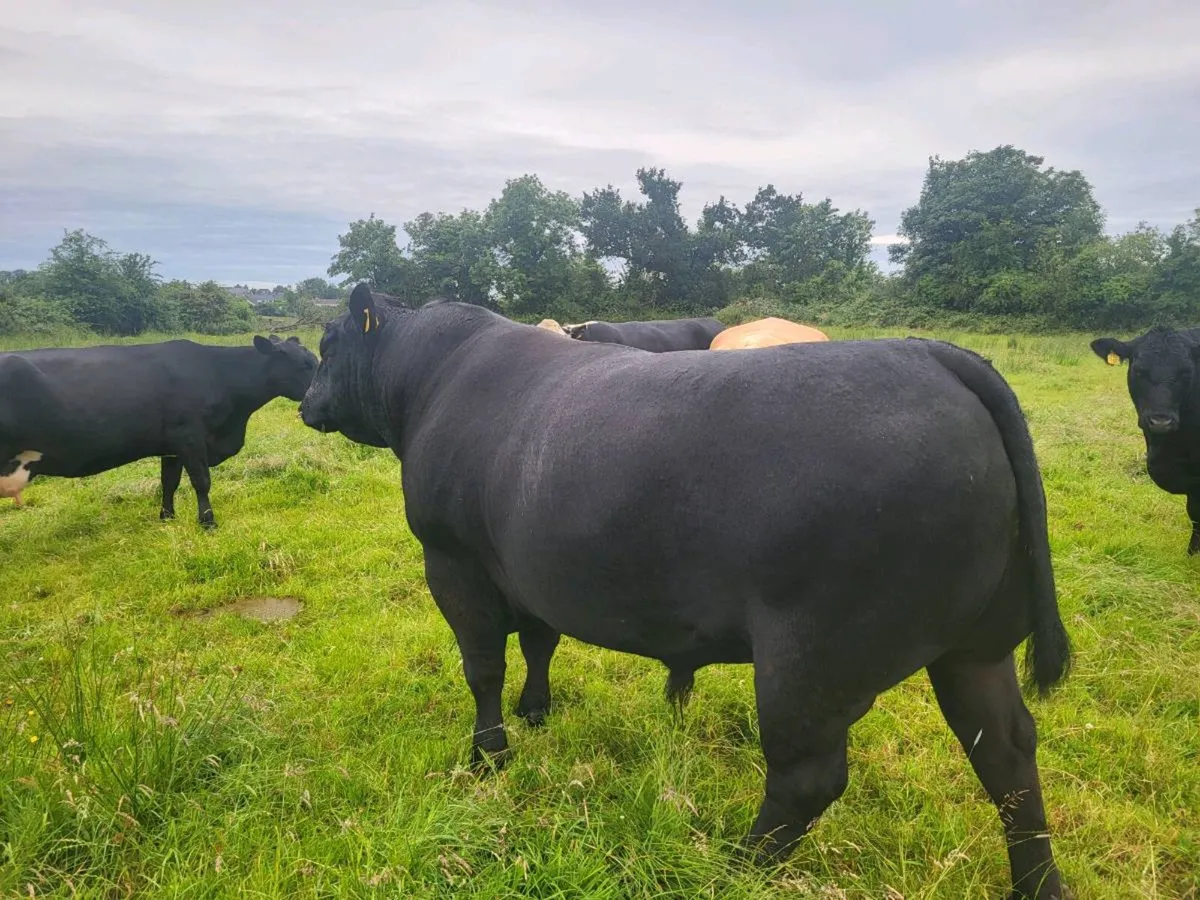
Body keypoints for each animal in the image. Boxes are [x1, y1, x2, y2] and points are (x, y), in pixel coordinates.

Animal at [0, 334, 317, 526]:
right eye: (304, 364)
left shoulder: (172, 446)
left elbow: (169, 482)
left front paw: (167, 517)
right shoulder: (190, 437)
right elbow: (201, 481)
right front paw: (208, 522)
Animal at [300, 284, 1071, 900]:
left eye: (326, 347)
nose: (305, 403)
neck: (436, 377)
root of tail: (934, 357)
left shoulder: (453, 560)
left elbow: (482, 665)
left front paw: (489, 756)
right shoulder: (526, 568)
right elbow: (541, 642)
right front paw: (536, 711)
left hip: (811, 655)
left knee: (807, 776)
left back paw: (734, 868)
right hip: (977, 645)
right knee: (1006, 751)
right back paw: (1038, 884)